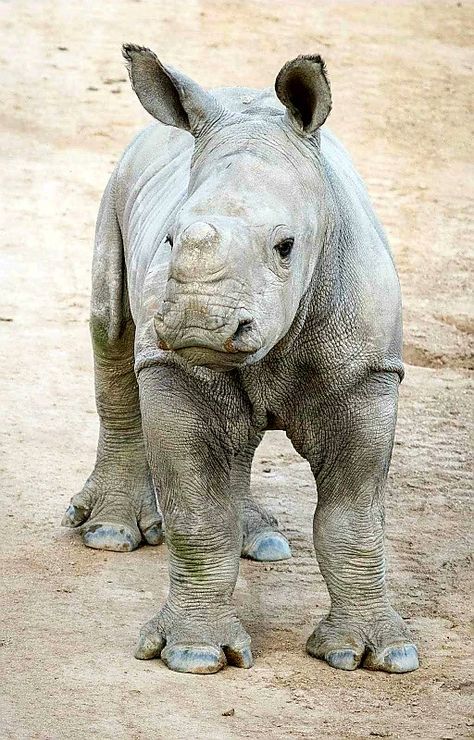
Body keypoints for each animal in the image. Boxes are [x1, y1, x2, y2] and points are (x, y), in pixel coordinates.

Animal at [62, 43, 418, 672]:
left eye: (286, 246)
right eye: (170, 240)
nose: (198, 322)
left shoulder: (367, 375)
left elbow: (354, 518)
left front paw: (380, 655)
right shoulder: (175, 367)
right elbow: (198, 512)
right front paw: (194, 655)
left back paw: (264, 542)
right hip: (117, 188)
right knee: (111, 330)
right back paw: (110, 534)